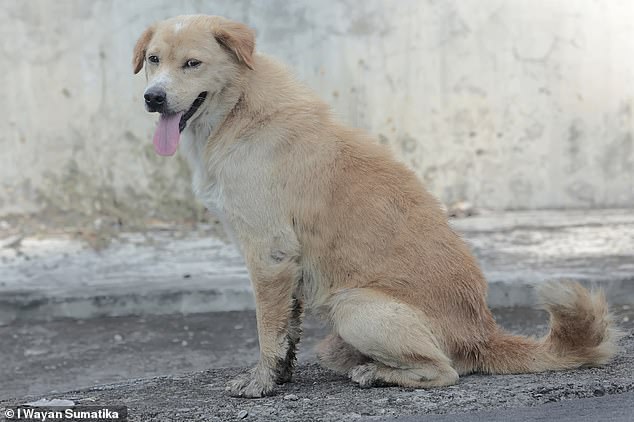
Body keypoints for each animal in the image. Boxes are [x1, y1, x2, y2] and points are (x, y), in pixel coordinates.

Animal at [131, 14, 620, 398]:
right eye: (154, 60)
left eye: (192, 63)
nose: (153, 98)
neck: (238, 110)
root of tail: (484, 334)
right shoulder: (286, 263)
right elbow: (287, 329)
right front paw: (281, 376)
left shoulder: (269, 254)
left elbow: (268, 330)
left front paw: (261, 383)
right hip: (337, 337)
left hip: (354, 307)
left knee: (445, 371)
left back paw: (379, 375)